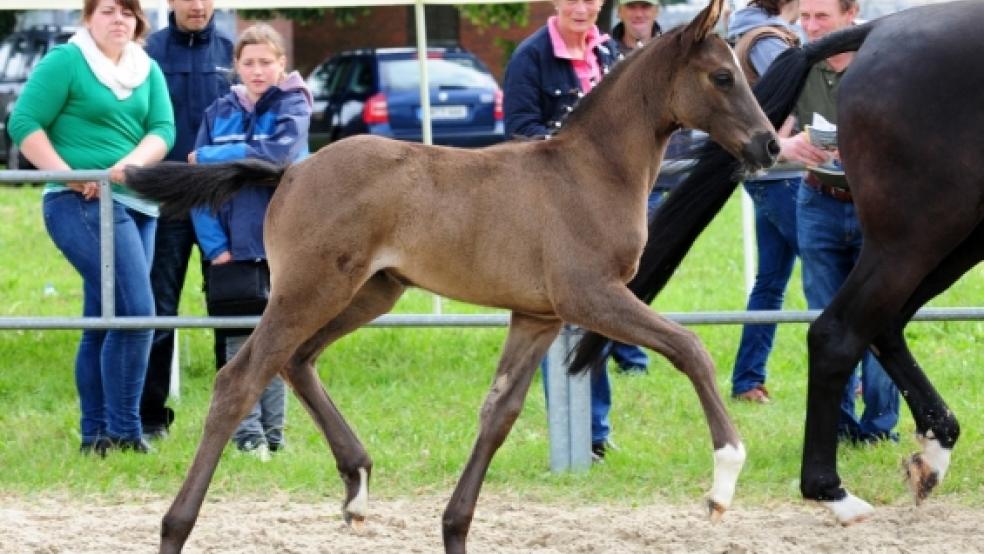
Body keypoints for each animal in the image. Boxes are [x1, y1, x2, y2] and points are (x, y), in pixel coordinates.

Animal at [572, 0, 980, 528]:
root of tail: (880, 30)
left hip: (955, 239)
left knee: (883, 327)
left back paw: (930, 455)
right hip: (914, 237)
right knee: (838, 333)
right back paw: (832, 490)